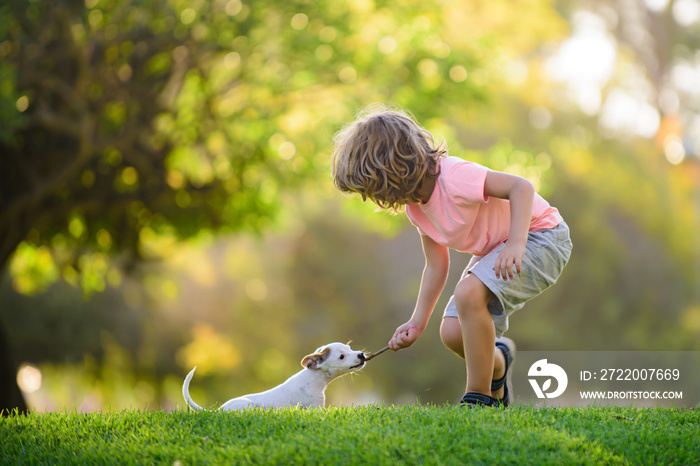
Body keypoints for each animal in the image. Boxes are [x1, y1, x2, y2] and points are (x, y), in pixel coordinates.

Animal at [180, 340, 366, 410]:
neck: (312, 378)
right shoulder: (316, 408)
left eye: (349, 348)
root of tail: (219, 411)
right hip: (246, 405)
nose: (361, 355)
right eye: (341, 356)